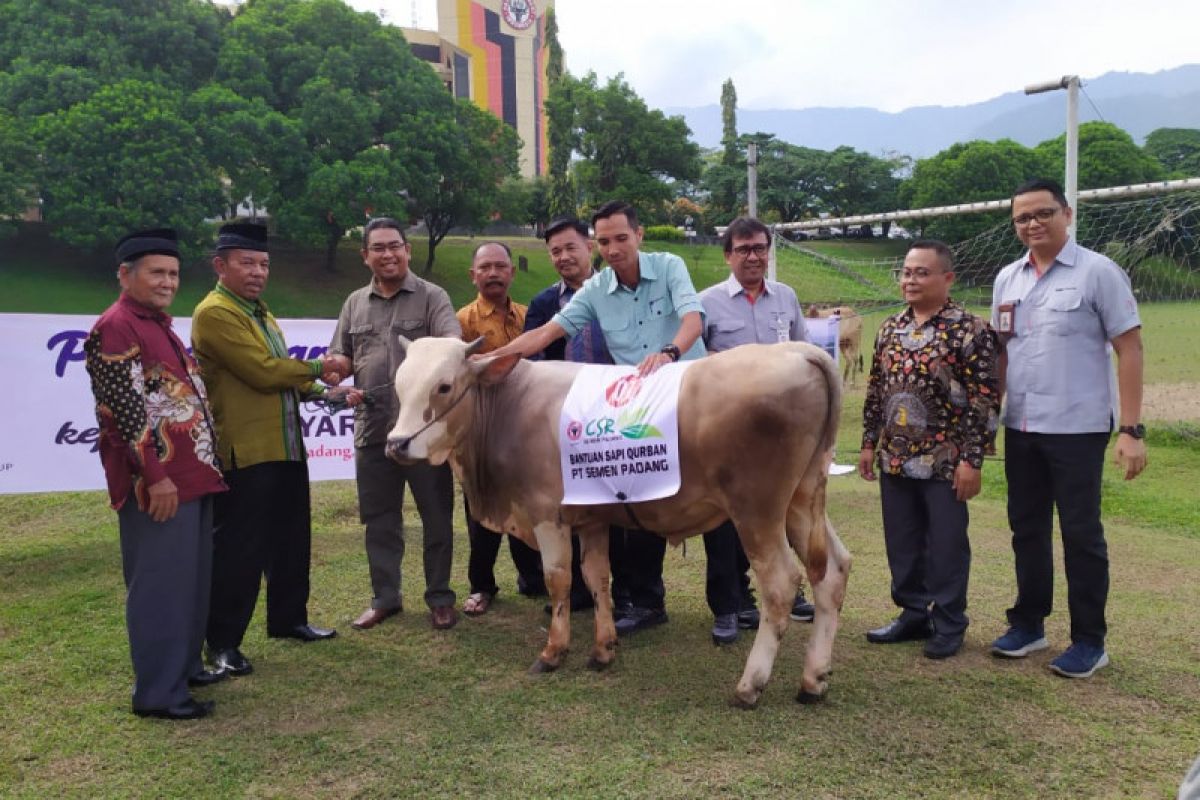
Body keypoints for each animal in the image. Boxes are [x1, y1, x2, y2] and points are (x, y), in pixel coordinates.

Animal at [384, 338, 854, 705]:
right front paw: (603, 648)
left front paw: (553, 652)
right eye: (399, 385)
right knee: (833, 571)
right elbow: (597, 578)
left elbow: (559, 581)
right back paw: (814, 680)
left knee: (781, 585)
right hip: (802, 503)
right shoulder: (592, 519)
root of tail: (798, 350)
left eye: (444, 386)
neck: (509, 406)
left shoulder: (547, 515)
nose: (396, 444)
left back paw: (750, 686)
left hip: (757, 511)